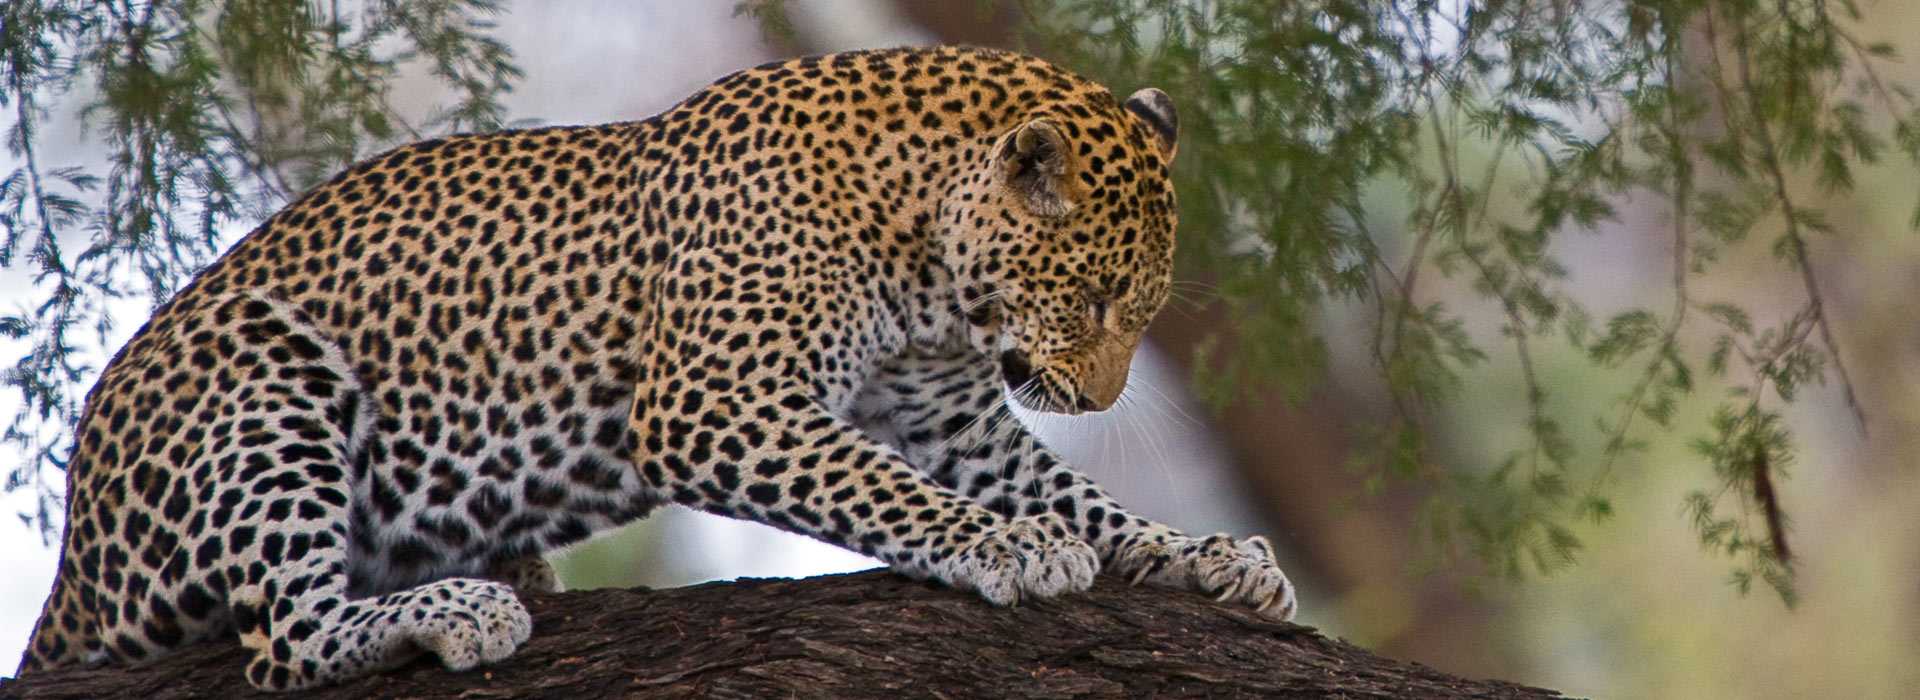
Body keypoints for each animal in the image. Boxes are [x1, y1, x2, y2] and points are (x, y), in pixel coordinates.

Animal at [11, 46, 1290, 690]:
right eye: (1097, 298)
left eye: (1141, 310)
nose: (1097, 394)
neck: (926, 266)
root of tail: (74, 566)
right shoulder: (712, 400)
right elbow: (887, 489)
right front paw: (1006, 544)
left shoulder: (953, 421)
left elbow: (1083, 497)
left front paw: (1208, 556)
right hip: (260, 373)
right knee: (282, 639)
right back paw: (458, 607)